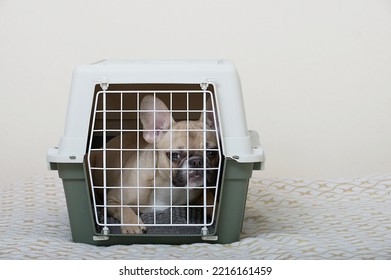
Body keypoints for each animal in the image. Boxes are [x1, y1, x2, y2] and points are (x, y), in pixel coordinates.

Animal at [91, 95, 220, 233]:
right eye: (174, 155)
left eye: (212, 153)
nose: (197, 161)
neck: (167, 184)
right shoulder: (111, 200)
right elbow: (123, 208)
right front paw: (132, 224)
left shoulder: (199, 192)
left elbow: (211, 200)